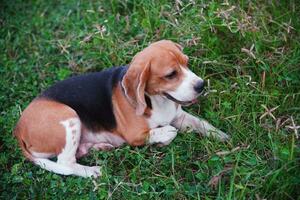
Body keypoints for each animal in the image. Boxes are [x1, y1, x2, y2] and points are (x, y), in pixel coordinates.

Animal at [14, 39, 229, 177]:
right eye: (170, 75)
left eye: (187, 62)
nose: (201, 85)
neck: (156, 100)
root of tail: (18, 130)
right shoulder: (134, 134)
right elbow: (164, 132)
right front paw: (164, 136)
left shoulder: (178, 116)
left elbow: (201, 123)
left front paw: (220, 135)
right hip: (68, 116)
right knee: (66, 164)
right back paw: (92, 171)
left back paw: (99, 147)